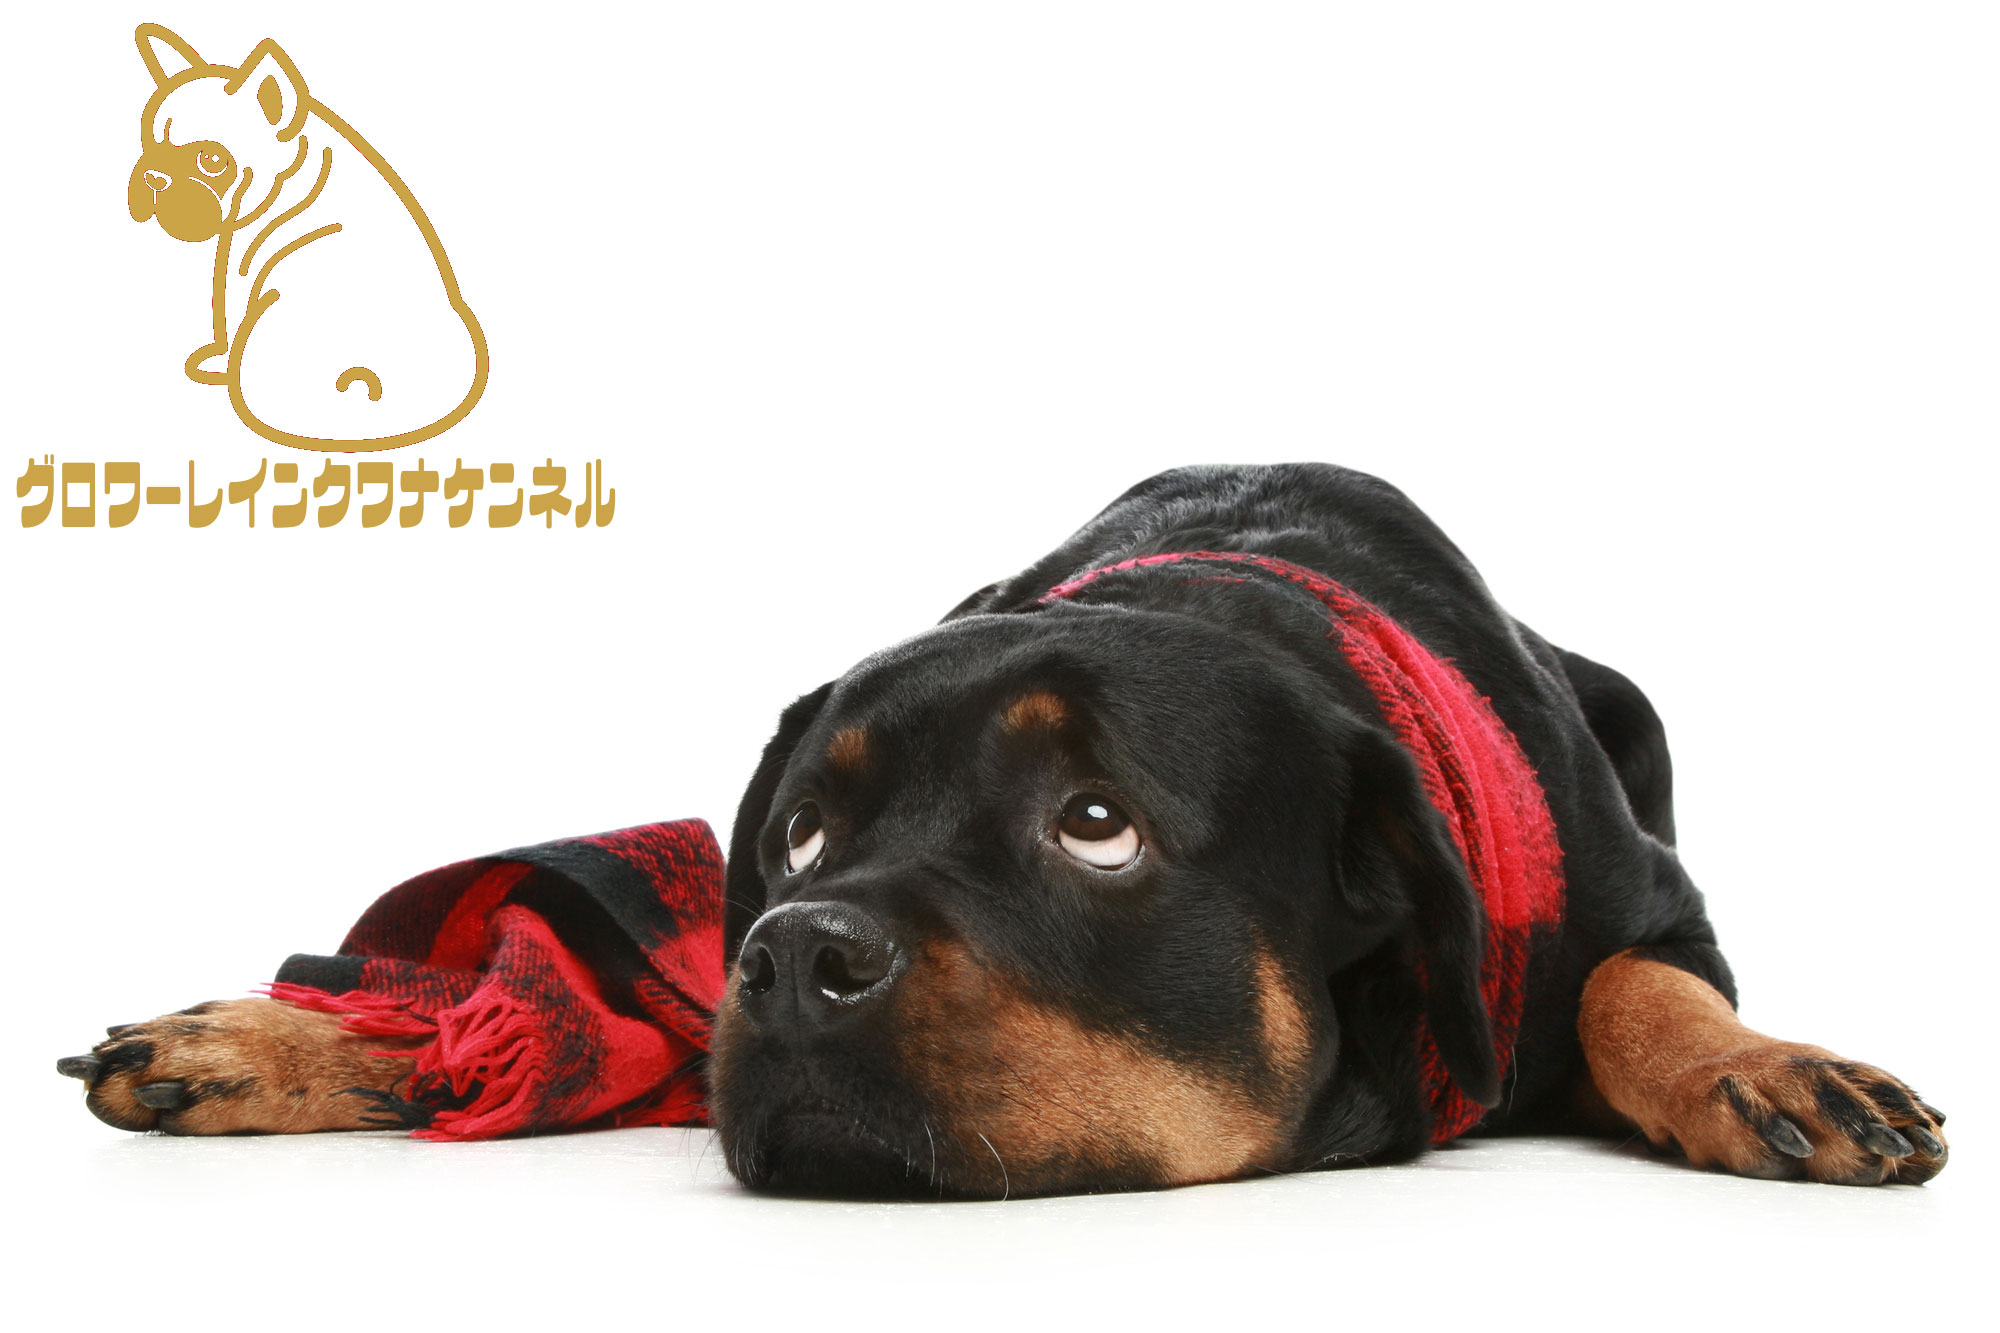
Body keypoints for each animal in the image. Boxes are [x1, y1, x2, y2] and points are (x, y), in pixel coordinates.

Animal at [59, 464, 1947, 1195]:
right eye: (801, 837)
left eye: (1098, 825)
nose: (787, 954)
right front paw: (278, 1038)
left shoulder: (1641, 895)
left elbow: (1644, 983)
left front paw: (1763, 1068)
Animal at [127, 23, 486, 451]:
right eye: (151, 144)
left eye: (212, 160)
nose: (154, 177)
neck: (291, 181)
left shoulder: (242, 272)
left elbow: (231, 314)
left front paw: (222, 367)